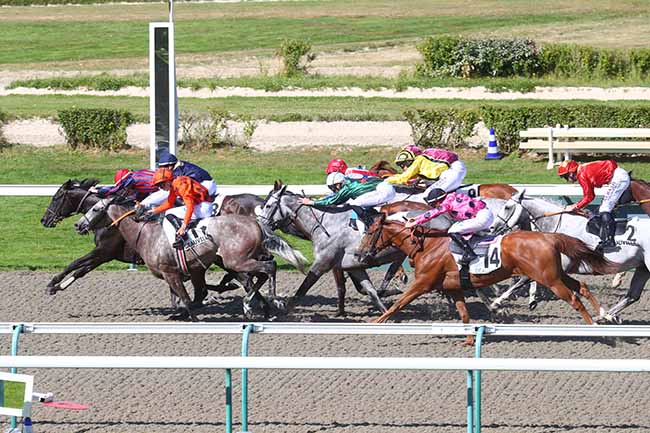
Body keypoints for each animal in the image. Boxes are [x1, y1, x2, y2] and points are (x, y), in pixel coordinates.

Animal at [360, 213, 616, 344]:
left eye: (370, 232)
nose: (360, 254)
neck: (427, 246)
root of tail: (548, 237)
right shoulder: (453, 287)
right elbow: (464, 314)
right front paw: (469, 340)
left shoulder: (423, 284)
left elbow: (397, 304)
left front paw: (375, 324)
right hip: (556, 274)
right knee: (582, 287)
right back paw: (606, 315)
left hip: (549, 279)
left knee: (574, 299)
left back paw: (598, 328)